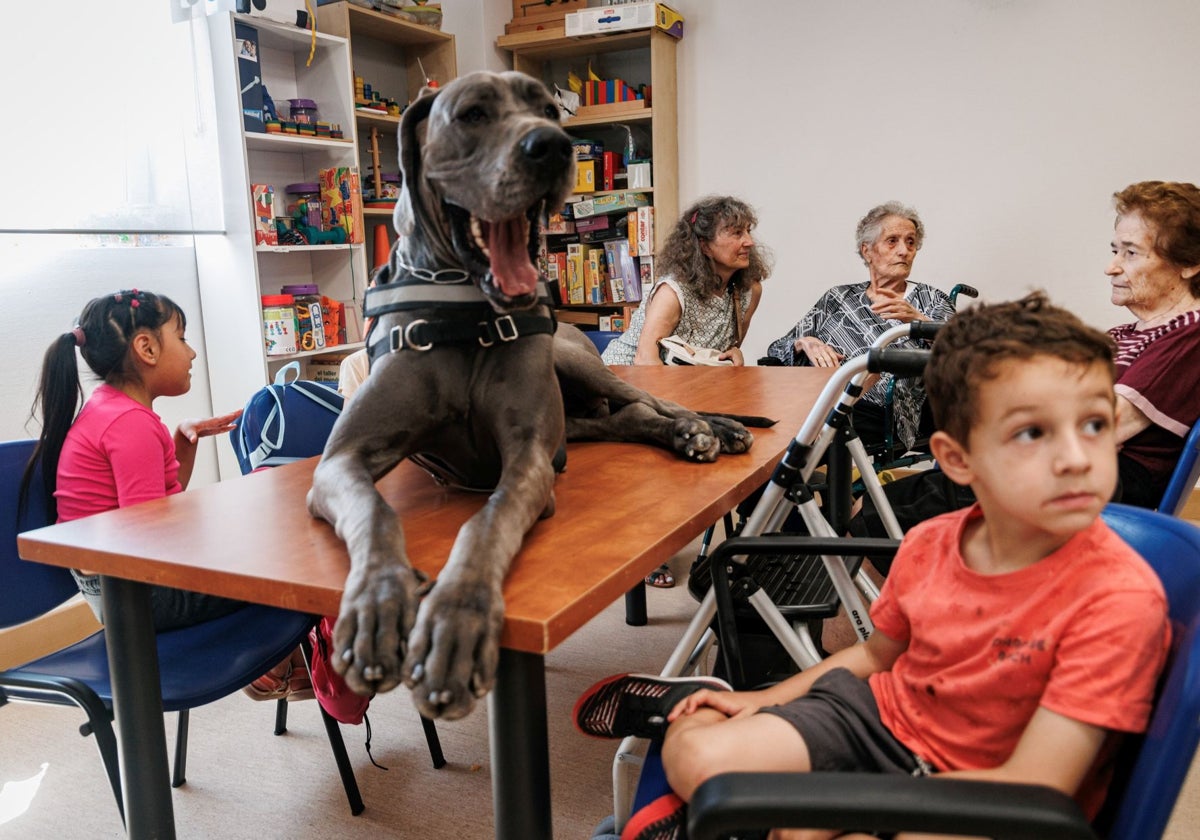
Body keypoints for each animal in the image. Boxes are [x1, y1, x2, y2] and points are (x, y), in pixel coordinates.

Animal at [309, 69, 758, 720]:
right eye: (471, 114)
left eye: (549, 109)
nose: (553, 147)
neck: (466, 312)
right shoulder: (340, 461)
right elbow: (373, 513)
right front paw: (376, 607)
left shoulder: (525, 459)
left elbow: (487, 523)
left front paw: (455, 621)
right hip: (574, 422)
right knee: (629, 417)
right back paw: (684, 435)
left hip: (574, 362)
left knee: (656, 402)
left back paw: (709, 429)